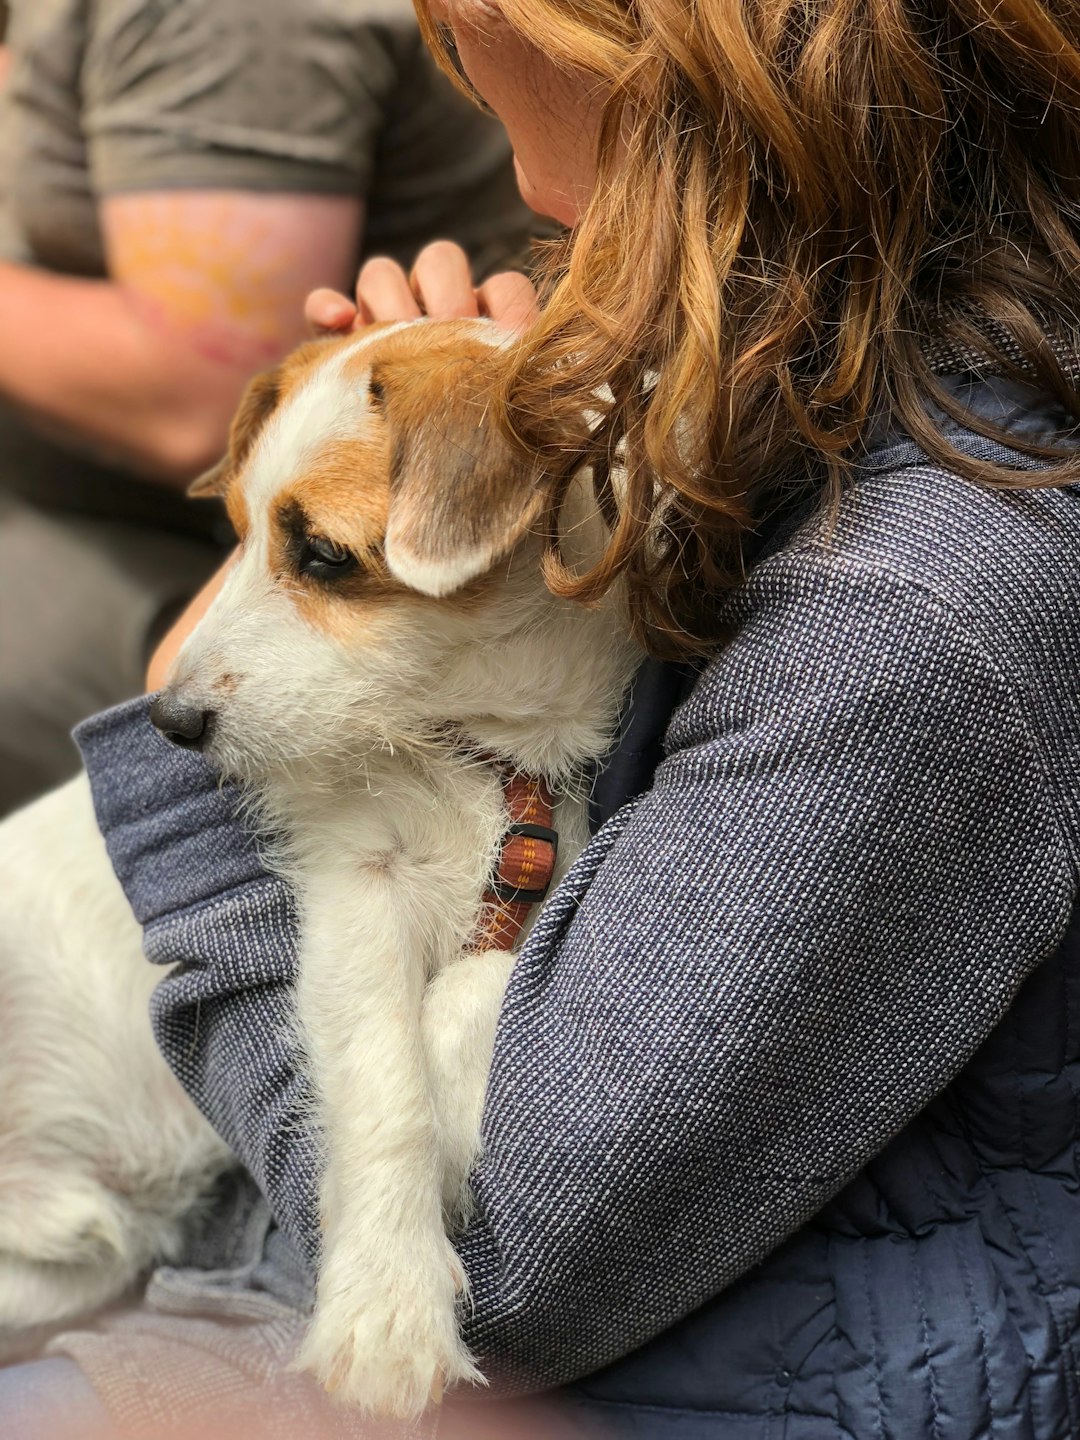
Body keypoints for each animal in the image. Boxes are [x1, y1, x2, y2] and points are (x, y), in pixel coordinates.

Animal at [0, 318, 642, 1416]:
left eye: (325, 554)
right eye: (239, 534)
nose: (170, 723)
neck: (466, 746)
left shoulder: (539, 873)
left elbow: (477, 992)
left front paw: (452, 1105)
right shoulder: (353, 894)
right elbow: (384, 1085)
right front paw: (389, 1303)